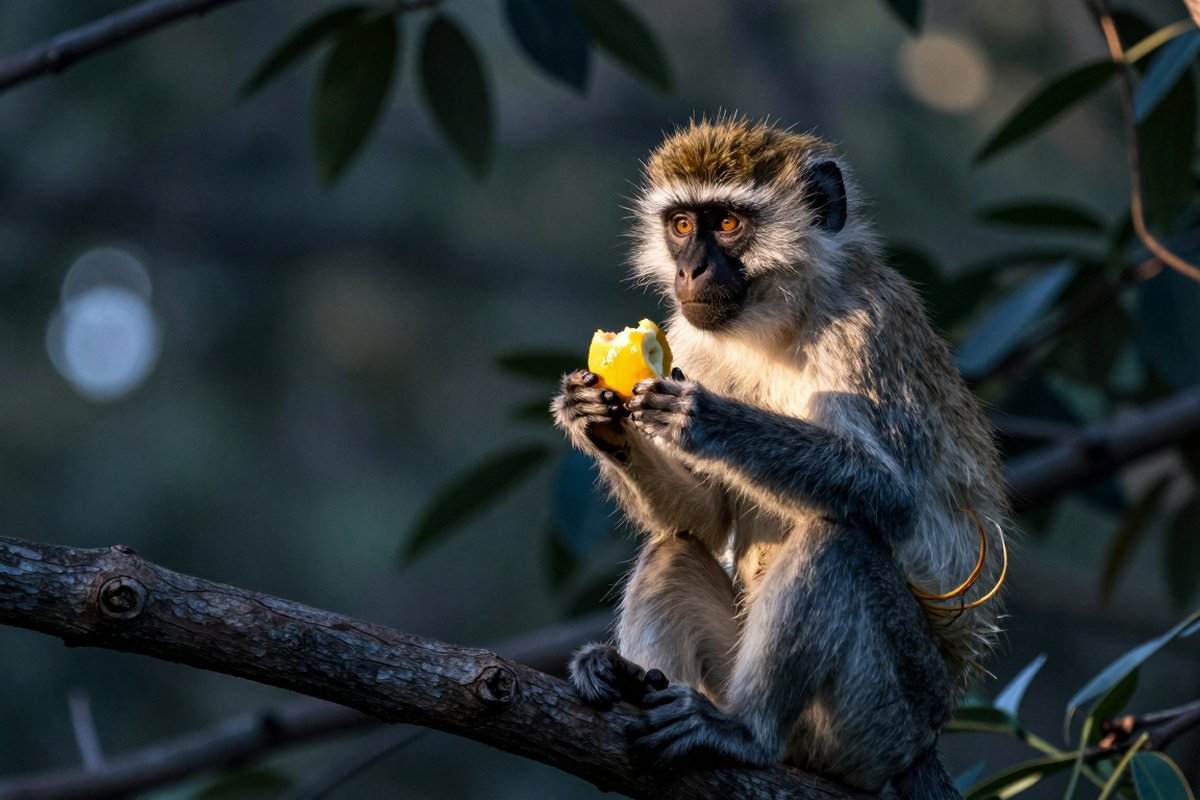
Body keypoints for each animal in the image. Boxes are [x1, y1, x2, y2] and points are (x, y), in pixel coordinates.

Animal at [550, 118, 1008, 798]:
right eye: (681, 224)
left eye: (728, 223)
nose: (690, 270)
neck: (781, 318)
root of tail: (923, 744)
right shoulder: (691, 336)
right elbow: (706, 519)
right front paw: (592, 416)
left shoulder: (867, 329)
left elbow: (893, 498)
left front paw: (706, 420)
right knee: (672, 551)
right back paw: (636, 685)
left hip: (886, 716)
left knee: (839, 543)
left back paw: (745, 731)